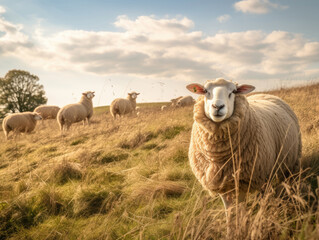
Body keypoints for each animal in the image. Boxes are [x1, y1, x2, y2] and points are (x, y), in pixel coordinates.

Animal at [186, 79, 302, 229]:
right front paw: (231, 229)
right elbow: (229, 212)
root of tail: (266, 94)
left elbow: (241, 209)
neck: (219, 156)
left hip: (289, 163)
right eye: (206, 91)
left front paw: (242, 227)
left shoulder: (243, 181)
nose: (218, 106)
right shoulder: (222, 184)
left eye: (234, 91)